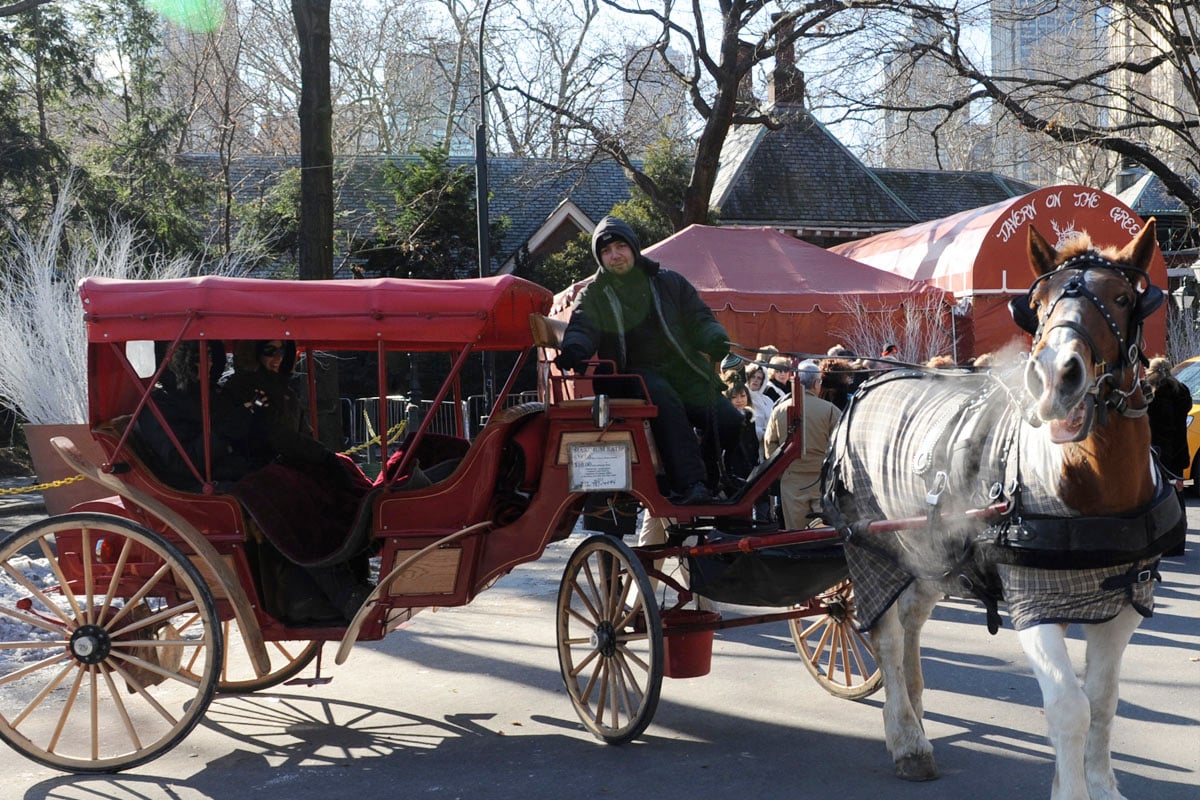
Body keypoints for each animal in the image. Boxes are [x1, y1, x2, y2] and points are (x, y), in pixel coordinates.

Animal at [825, 220, 1180, 800]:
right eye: (1036, 302)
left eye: (1124, 298)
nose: (1056, 377)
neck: (1088, 490)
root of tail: (866, 381)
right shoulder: (1031, 602)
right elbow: (1069, 708)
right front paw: (1072, 789)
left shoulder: (1126, 601)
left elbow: (1103, 701)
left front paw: (1100, 784)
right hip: (871, 548)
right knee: (886, 638)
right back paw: (907, 738)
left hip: (928, 552)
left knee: (911, 620)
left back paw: (916, 709)